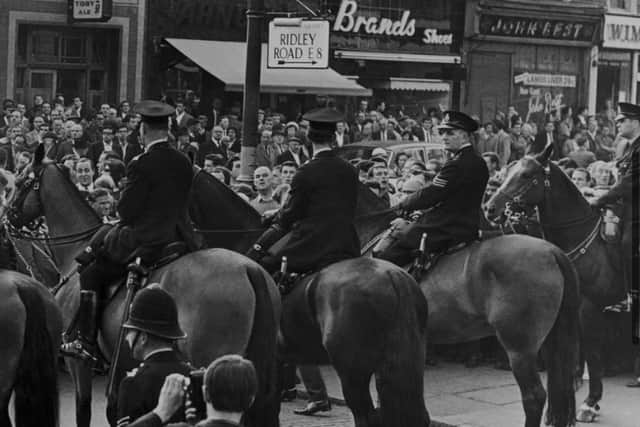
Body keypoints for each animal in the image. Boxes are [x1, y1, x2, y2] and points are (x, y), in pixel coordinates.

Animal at [484, 146, 624, 424]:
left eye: (527, 175)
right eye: (508, 171)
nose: (491, 208)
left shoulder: (589, 307)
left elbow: (593, 352)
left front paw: (590, 403)